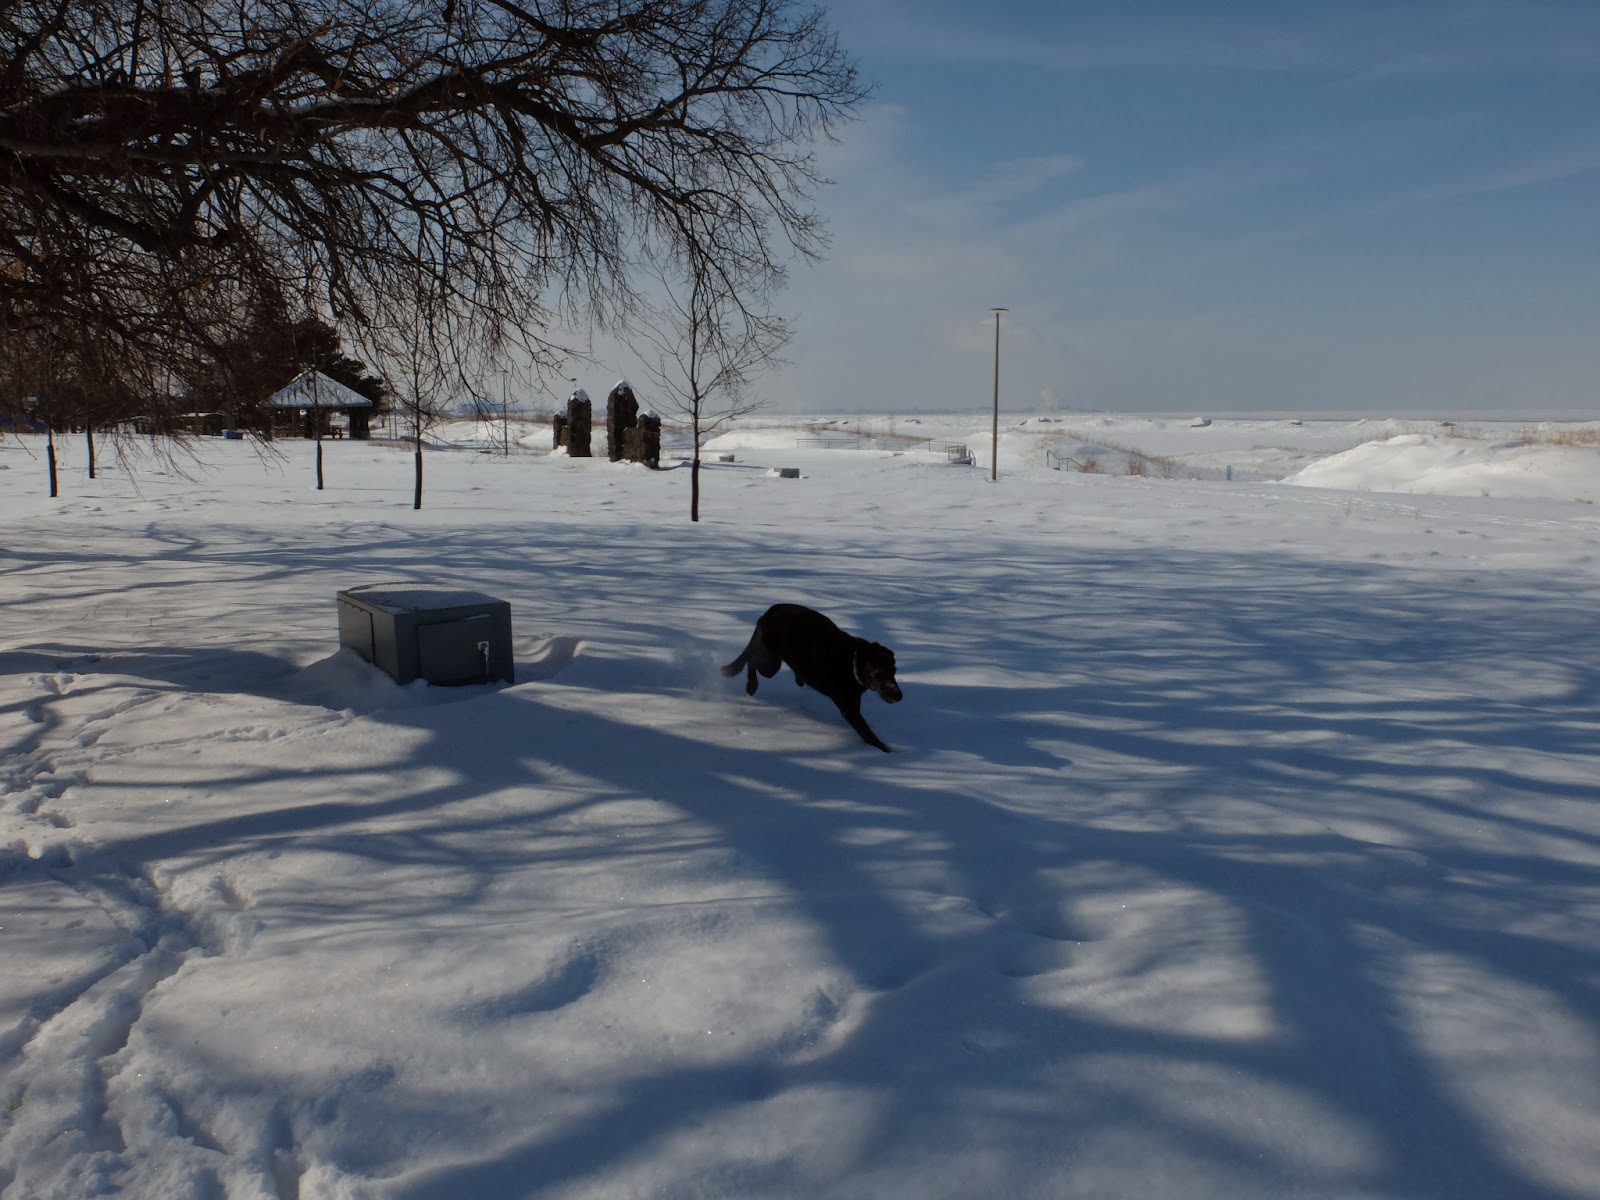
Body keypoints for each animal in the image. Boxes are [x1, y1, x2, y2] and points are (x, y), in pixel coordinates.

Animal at [722, 604, 902, 752]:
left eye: (894, 671)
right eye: (878, 675)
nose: (899, 696)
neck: (854, 662)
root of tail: (769, 611)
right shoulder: (849, 709)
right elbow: (868, 734)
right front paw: (888, 751)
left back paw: (797, 679)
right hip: (771, 663)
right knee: (751, 658)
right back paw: (751, 685)